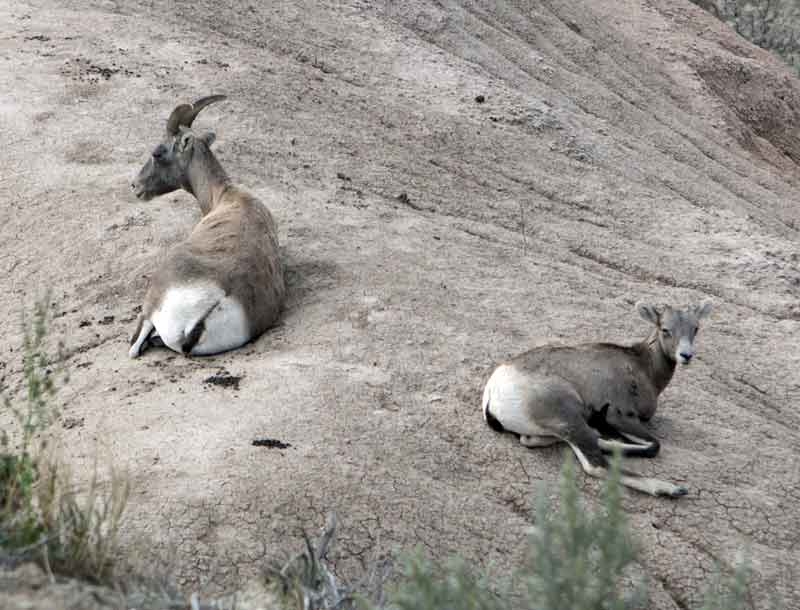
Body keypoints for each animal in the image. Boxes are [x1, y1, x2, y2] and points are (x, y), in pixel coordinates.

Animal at [482, 298, 712, 494]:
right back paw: (670, 489)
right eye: (665, 329)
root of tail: (493, 396)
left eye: (696, 328)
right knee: (596, 464)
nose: (686, 355)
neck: (643, 368)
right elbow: (654, 446)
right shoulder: (620, 417)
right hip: (570, 418)